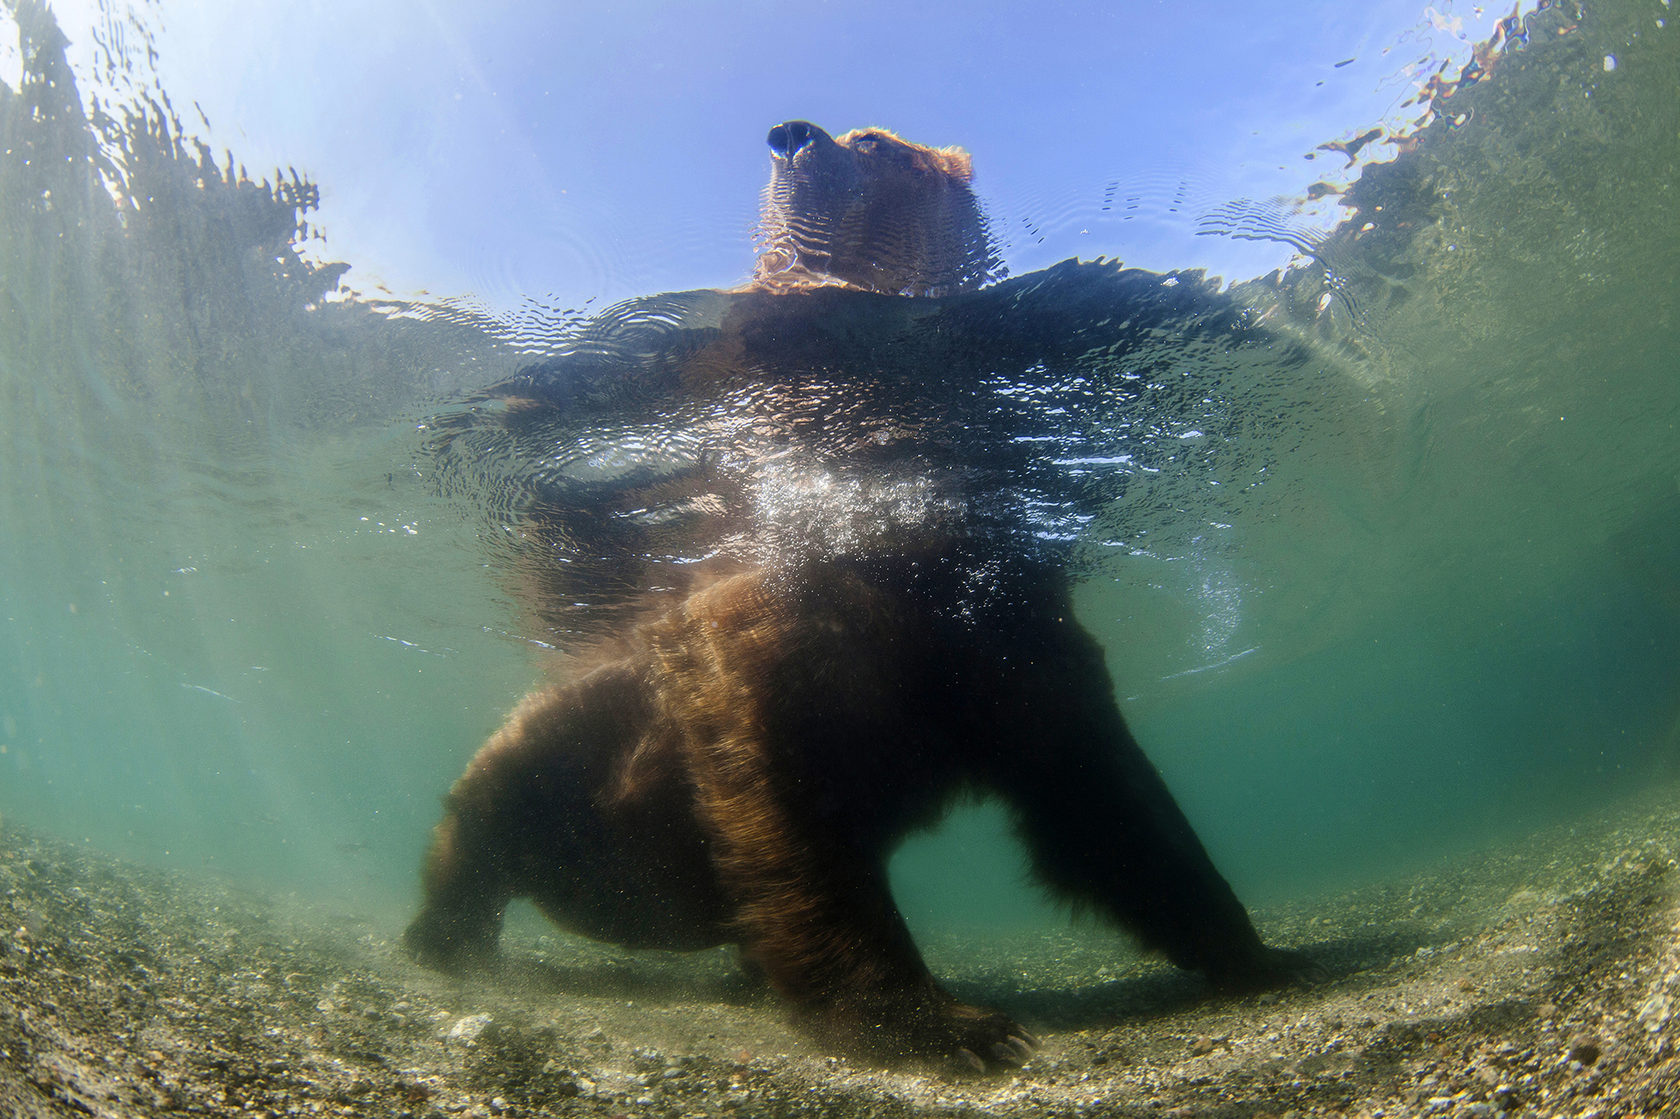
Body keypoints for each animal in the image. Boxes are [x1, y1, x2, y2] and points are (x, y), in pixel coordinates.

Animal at [406, 117, 1310, 1068]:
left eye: (877, 141)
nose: (792, 136)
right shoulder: (764, 640)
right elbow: (790, 808)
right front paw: (946, 1022)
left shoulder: (1011, 639)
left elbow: (1105, 796)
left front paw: (1257, 950)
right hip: (560, 731)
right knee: (479, 814)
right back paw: (447, 936)